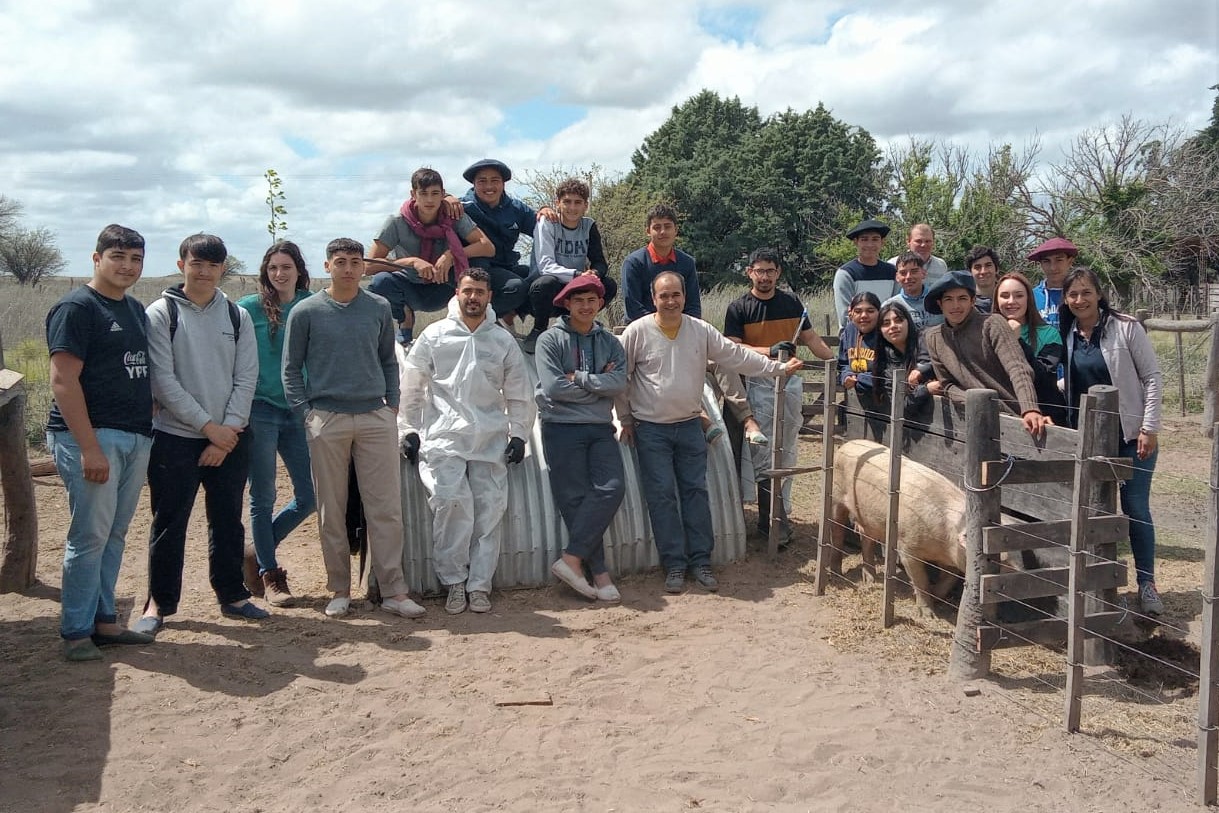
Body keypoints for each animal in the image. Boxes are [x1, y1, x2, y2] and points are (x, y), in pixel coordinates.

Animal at [833, 438, 965, 616]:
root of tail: (847, 444)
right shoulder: (907, 546)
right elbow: (920, 579)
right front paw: (929, 615)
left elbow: (951, 577)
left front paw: (935, 596)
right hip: (836, 495)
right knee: (837, 529)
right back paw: (836, 572)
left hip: (870, 519)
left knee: (866, 540)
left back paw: (871, 580)